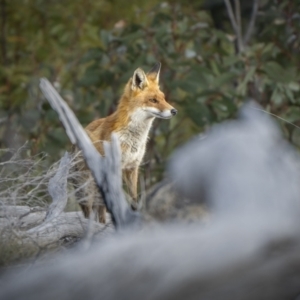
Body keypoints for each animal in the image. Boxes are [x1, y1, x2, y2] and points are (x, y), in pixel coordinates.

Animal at [72, 62, 177, 223]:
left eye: (164, 98)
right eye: (153, 100)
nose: (174, 111)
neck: (132, 140)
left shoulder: (132, 167)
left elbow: (134, 201)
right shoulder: (112, 170)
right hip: (87, 189)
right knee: (91, 212)